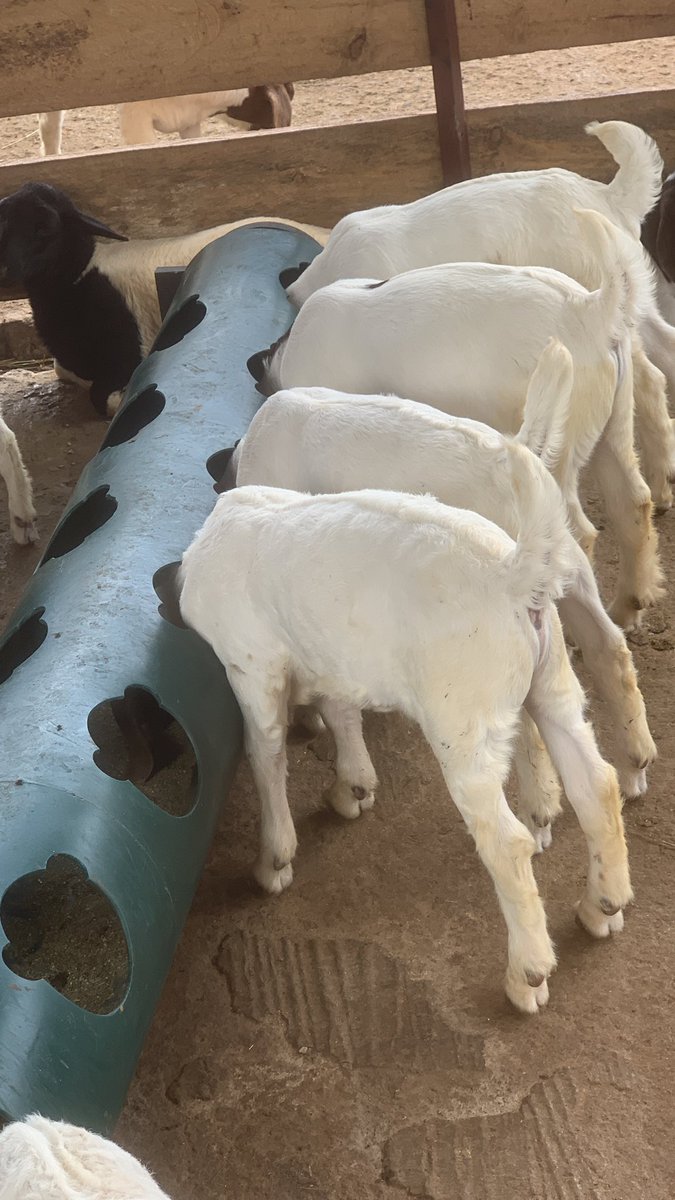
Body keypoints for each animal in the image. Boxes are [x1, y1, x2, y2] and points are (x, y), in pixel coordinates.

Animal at [175, 483, 632, 1012]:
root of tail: (512, 575)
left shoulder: (251, 663)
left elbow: (265, 751)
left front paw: (274, 859)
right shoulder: (332, 656)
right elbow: (340, 709)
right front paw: (353, 787)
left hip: (463, 714)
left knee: (506, 841)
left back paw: (528, 974)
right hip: (551, 675)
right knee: (596, 784)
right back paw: (603, 905)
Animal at [252, 208, 663, 631]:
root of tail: (590, 308)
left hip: (562, 457)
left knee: (580, 533)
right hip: (612, 425)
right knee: (633, 501)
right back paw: (628, 606)